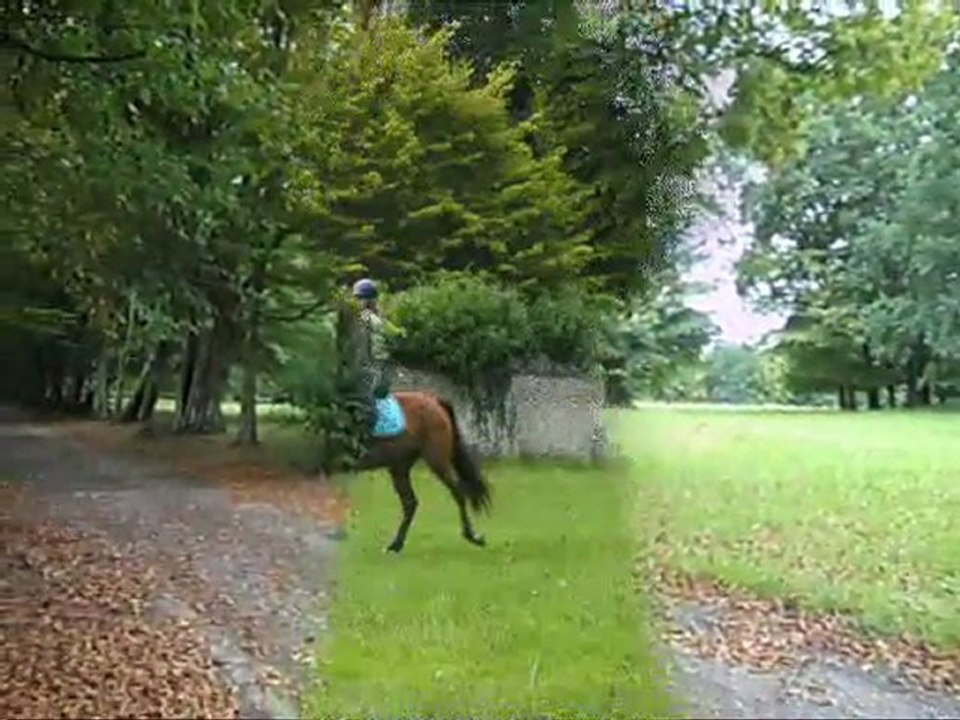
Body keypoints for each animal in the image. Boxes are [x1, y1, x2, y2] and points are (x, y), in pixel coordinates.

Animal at [346, 390, 492, 553]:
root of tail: (433, 400)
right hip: (400, 467)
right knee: (410, 503)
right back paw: (396, 545)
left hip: (436, 460)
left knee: (457, 492)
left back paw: (471, 535)